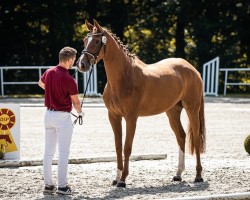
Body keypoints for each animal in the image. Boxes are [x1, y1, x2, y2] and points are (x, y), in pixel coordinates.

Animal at [77, 19, 206, 187]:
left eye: (97, 41)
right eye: (85, 40)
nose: (82, 65)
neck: (123, 77)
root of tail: (193, 70)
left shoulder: (131, 117)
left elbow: (127, 147)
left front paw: (123, 180)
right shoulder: (113, 116)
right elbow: (118, 146)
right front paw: (117, 177)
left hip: (192, 109)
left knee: (195, 138)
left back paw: (198, 175)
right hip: (172, 112)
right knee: (181, 136)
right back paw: (178, 174)